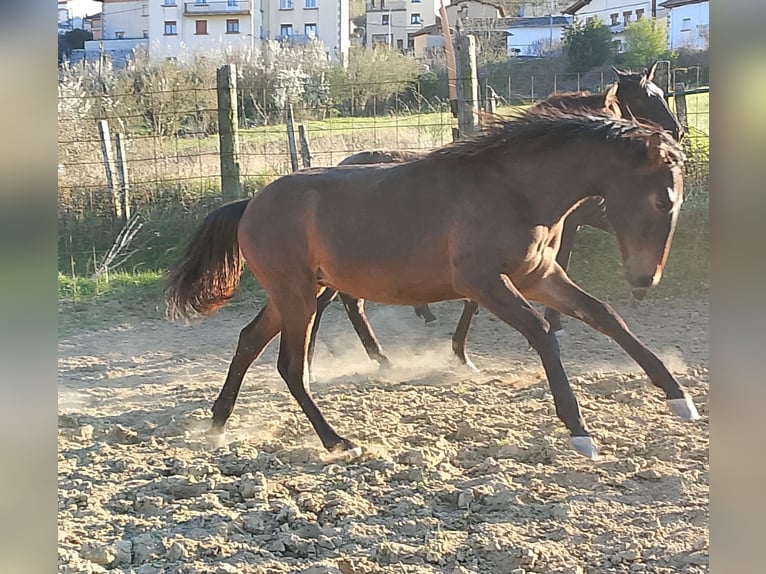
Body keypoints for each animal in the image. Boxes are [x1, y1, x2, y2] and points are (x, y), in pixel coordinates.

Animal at [165, 108, 699, 461]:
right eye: (663, 201)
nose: (644, 279)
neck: (514, 190)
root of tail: (249, 205)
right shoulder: (485, 282)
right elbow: (543, 334)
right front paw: (579, 431)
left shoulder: (538, 276)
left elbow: (605, 317)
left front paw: (679, 398)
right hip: (298, 295)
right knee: (290, 366)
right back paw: (335, 440)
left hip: (300, 293)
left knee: (249, 341)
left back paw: (217, 425)